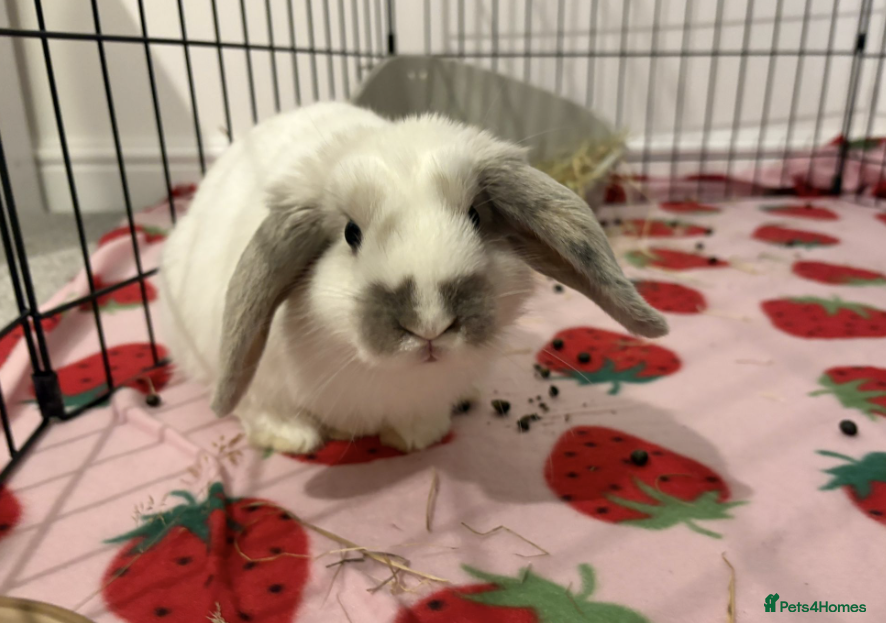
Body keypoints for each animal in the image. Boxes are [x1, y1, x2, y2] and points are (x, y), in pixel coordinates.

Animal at [158, 101, 668, 455]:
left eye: (476, 216)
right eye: (351, 233)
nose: (430, 323)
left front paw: (416, 438)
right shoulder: (259, 386)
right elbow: (258, 411)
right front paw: (294, 439)